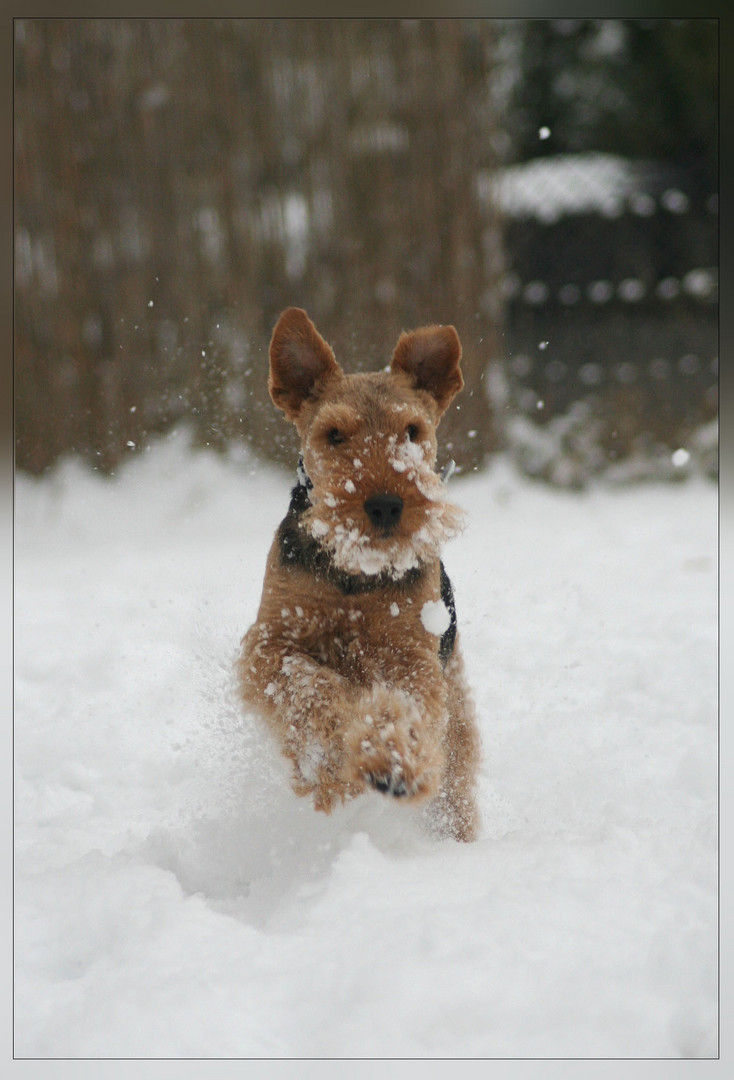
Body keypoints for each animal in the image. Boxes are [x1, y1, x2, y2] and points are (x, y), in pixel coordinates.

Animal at [236, 308, 481, 838]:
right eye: (334, 434)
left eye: (412, 430)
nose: (386, 505)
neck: (356, 575)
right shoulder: (272, 641)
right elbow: (313, 687)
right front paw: (344, 764)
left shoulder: (411, 656)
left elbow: (402, 706)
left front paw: (392, 760)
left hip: (456, 715)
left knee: (456, 787)